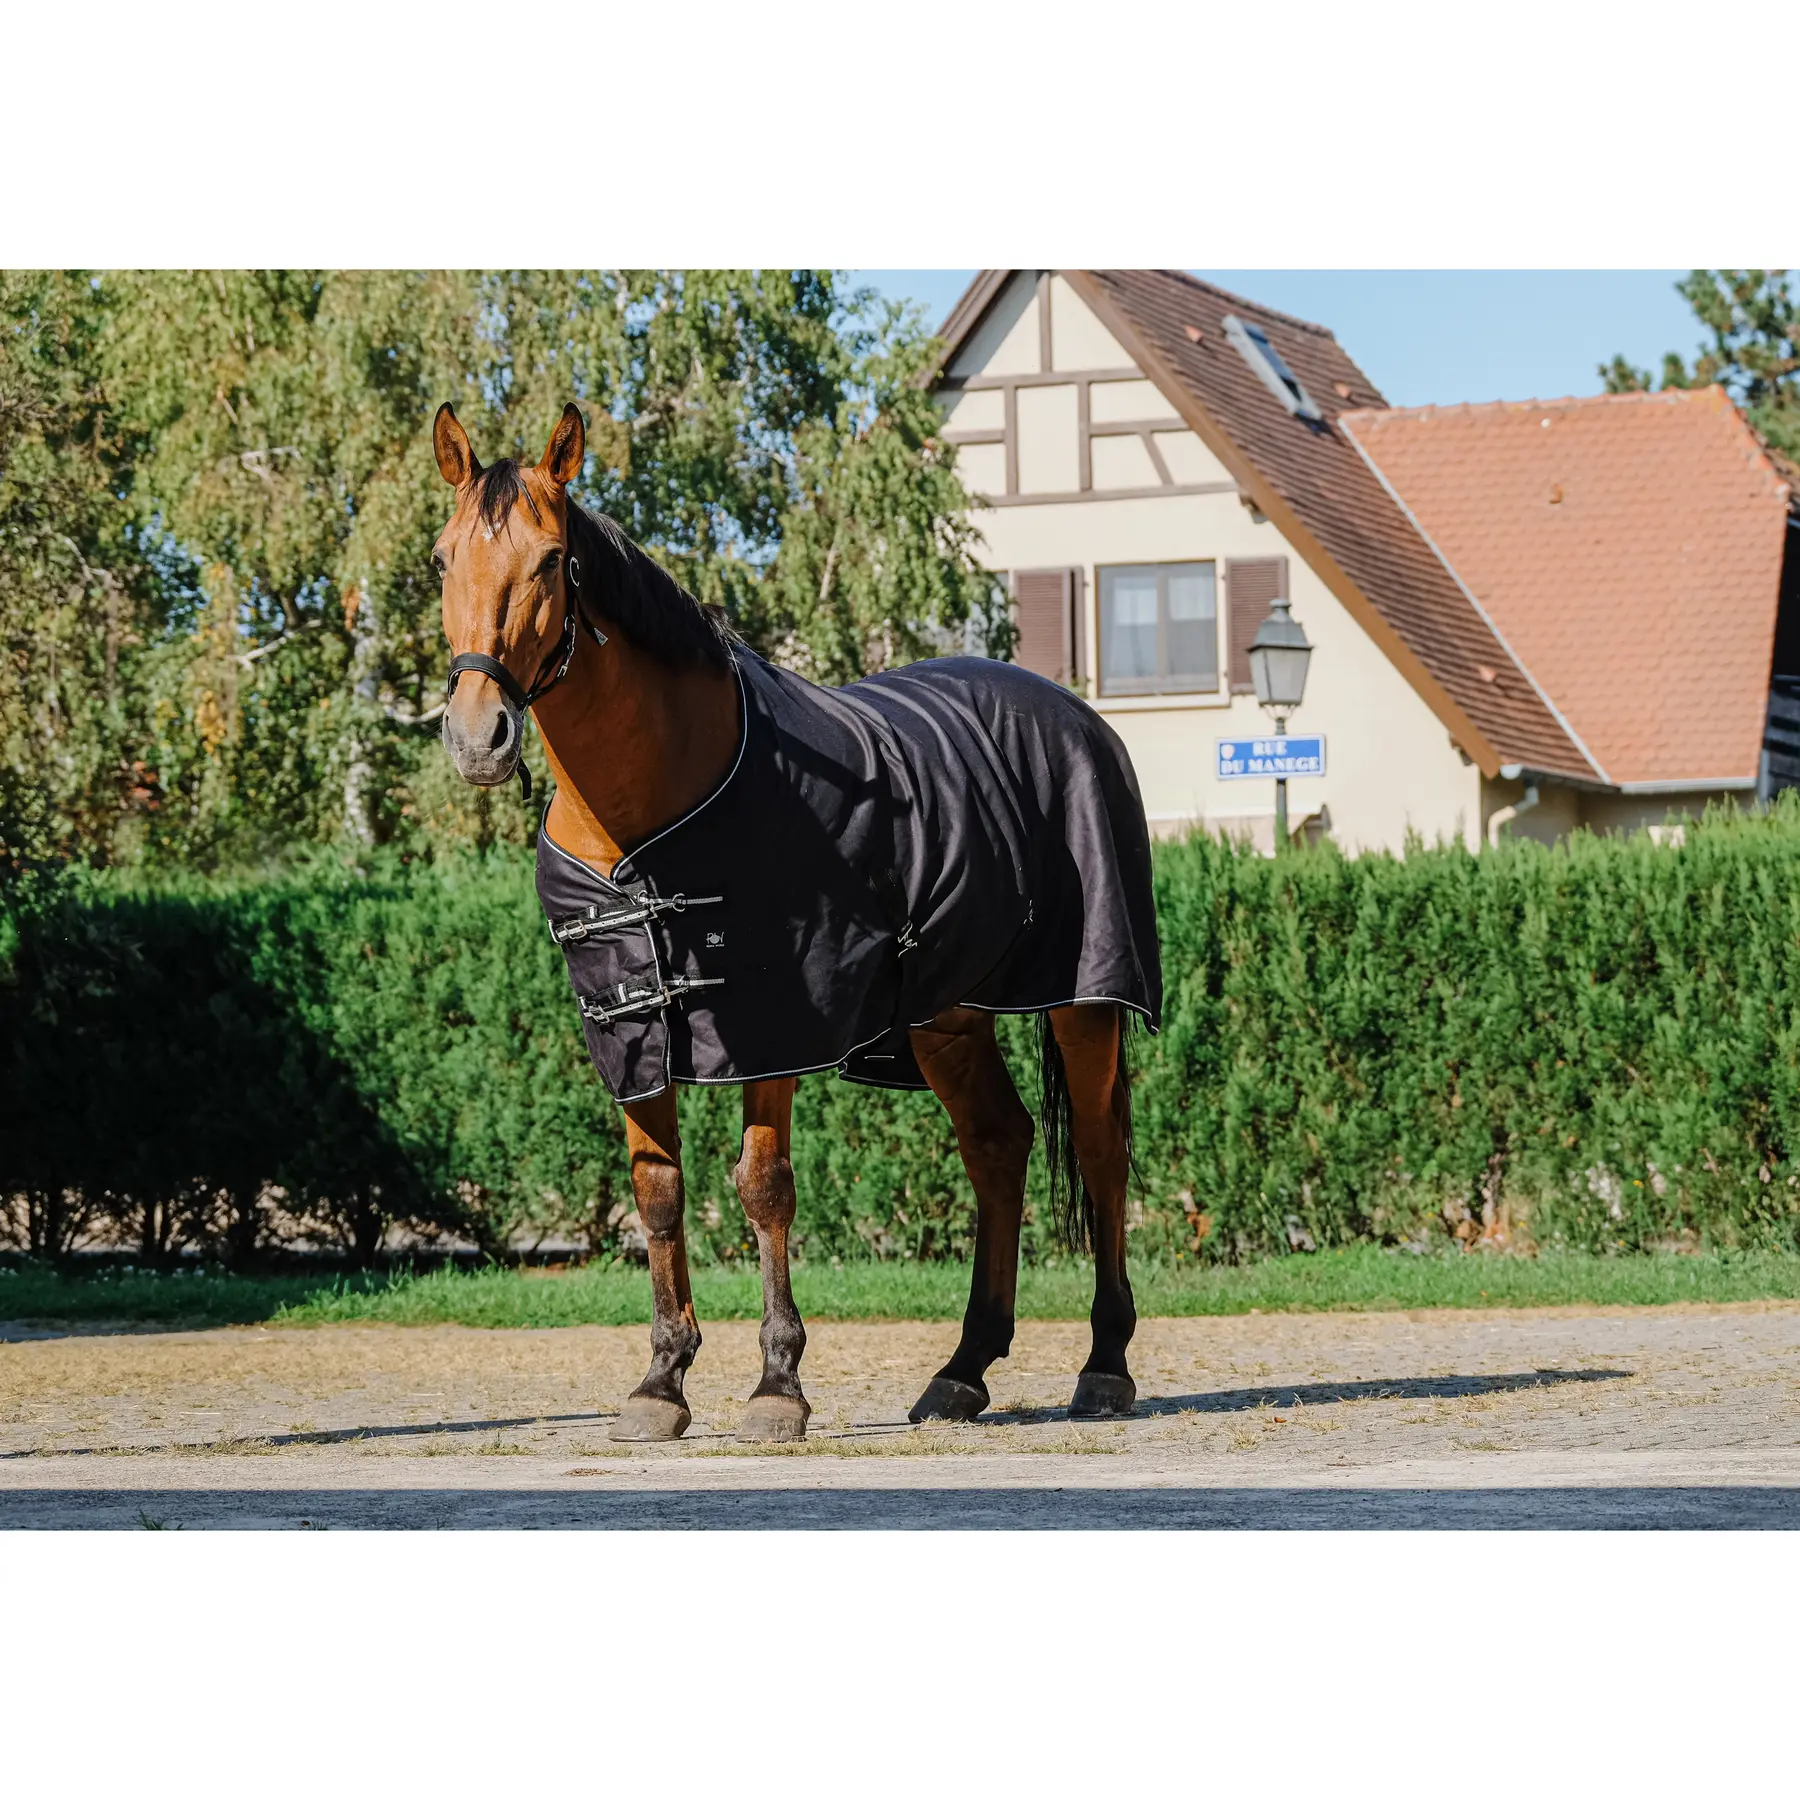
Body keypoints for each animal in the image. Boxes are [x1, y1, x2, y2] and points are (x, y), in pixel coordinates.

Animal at [431, 400, 1162, 1442]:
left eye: (550, 558)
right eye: (441, 559)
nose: (477, 735)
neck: (645, 807)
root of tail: (1078, 716)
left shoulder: (769, 1026)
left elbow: (762, 1187)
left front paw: (778, 1386)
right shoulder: (629, 1028)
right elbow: (658, 1193)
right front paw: (661, 1383)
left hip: (1083, 998)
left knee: (1101, 1152)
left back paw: (1104, 1364)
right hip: (947, 1018)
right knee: (998, 1146)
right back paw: (962, 1371)